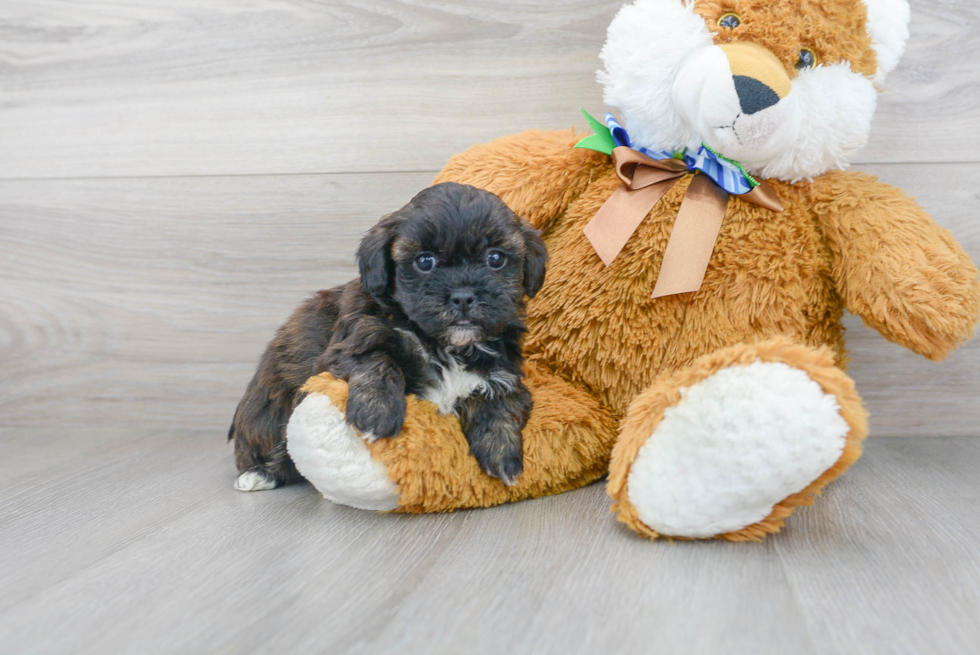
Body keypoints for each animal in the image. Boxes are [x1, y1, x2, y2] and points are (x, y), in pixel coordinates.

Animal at [233, 182, 548, 490]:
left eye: (495, 258)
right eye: (425, 261)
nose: (463, 296)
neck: (446, 345)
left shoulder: (505, 372)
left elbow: (500, 400)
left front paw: (502, 451)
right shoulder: (350, 343)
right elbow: (377, 361)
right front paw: (376, 413)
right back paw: (260, 474)